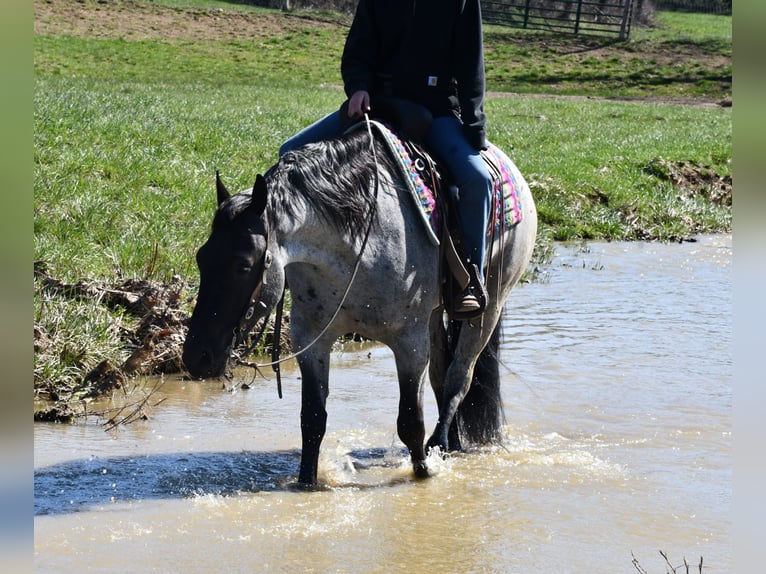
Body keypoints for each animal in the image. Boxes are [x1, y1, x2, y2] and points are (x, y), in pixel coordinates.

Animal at [182, 124, 537, 487]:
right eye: (201, 257)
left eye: (243, 266)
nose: (197, 357)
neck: (358, 245)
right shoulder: (311, 339)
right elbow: (312, 420)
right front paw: (306, 483)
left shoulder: (409, 344)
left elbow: (410, 423)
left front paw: (423, 474)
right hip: (436, 316)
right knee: (442, 375)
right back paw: (451, 444)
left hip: (490, 306)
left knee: (458, 378)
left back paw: (440, 445)